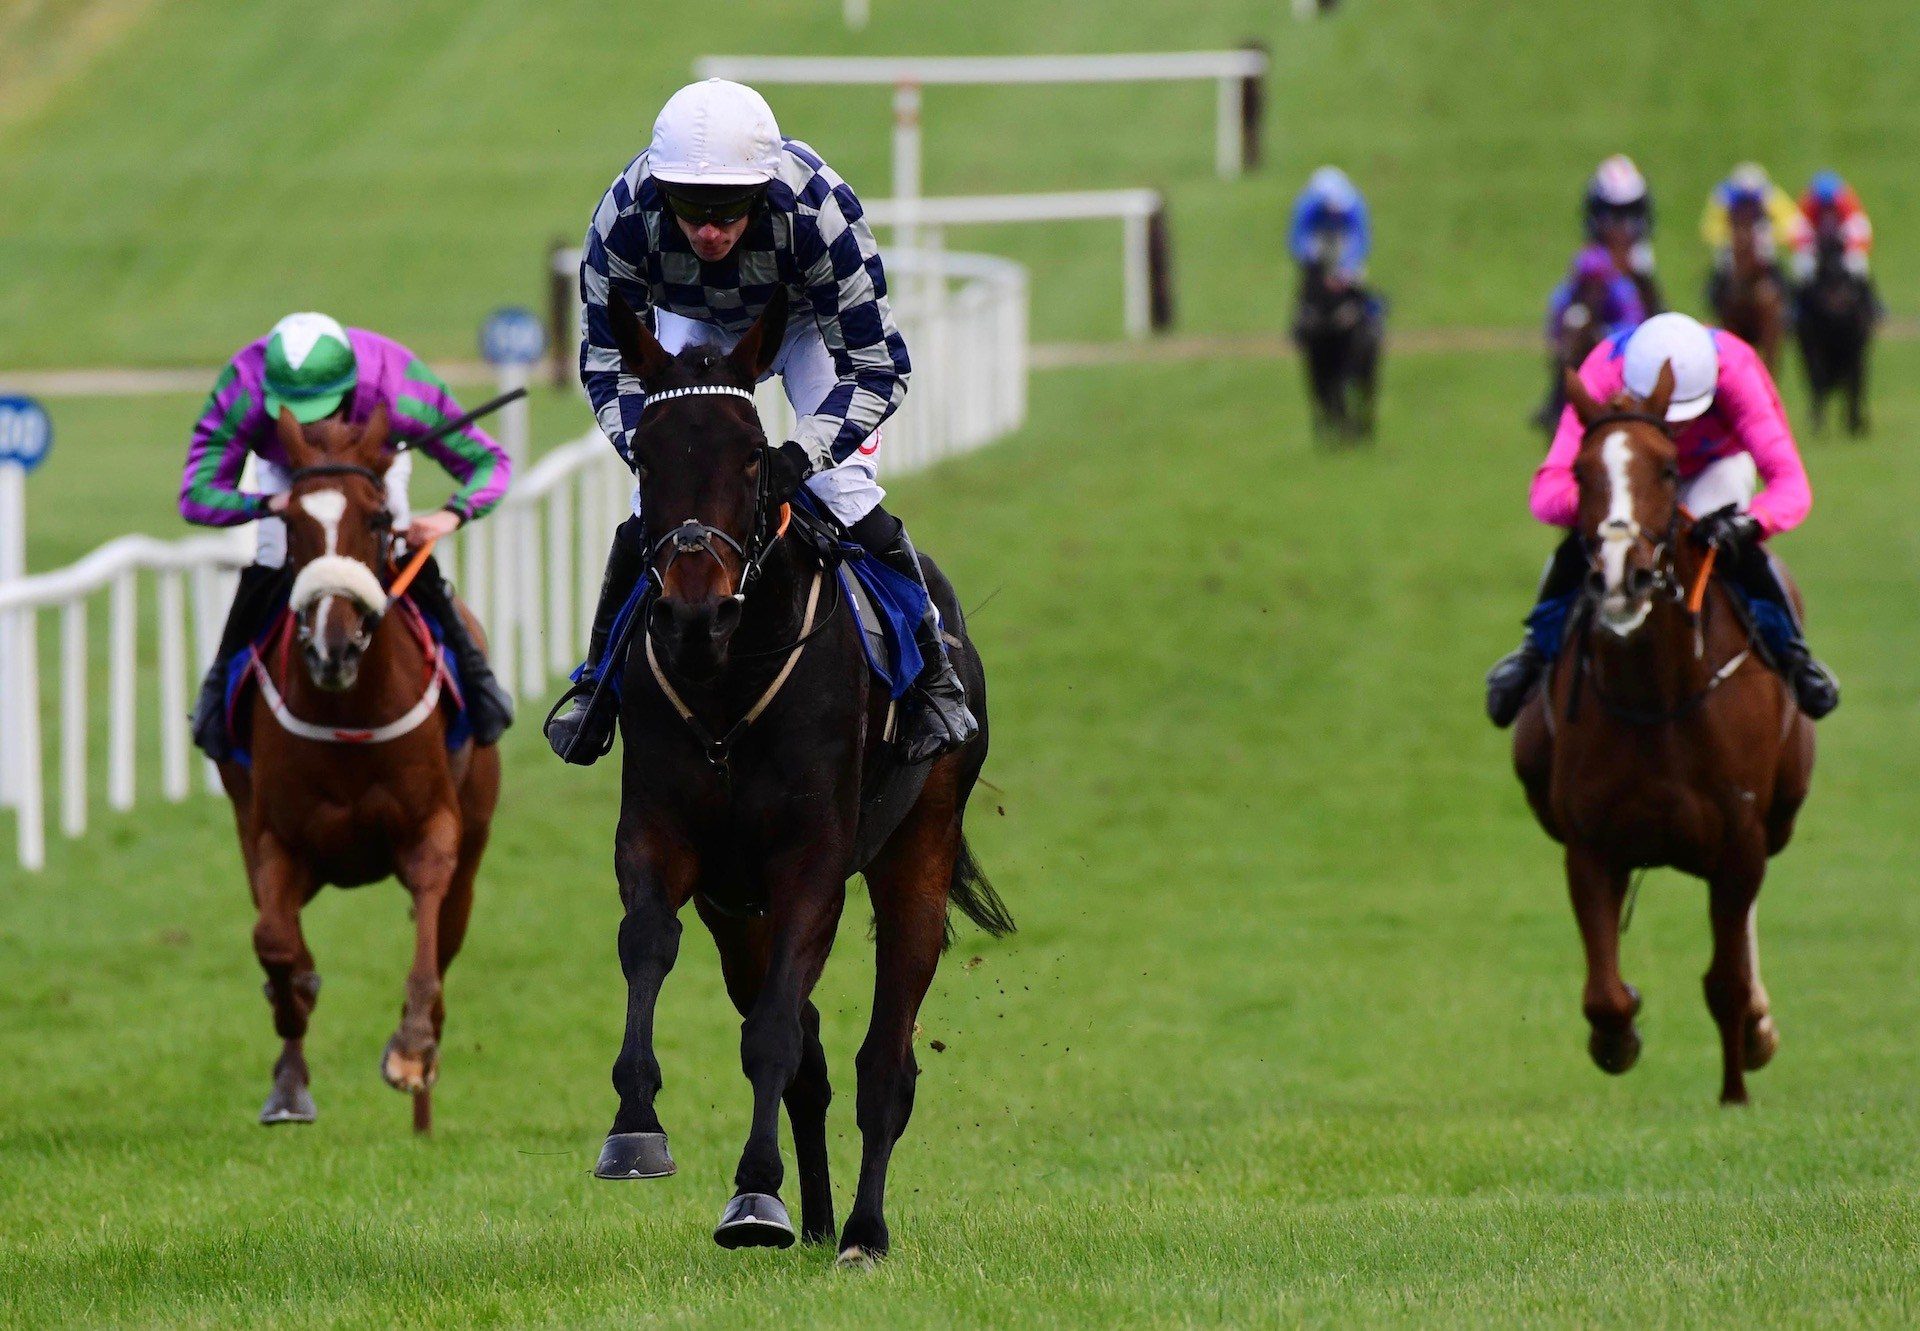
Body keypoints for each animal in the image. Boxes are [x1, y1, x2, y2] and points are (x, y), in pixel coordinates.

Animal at [218, 407, 503, 1129]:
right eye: (291, 523)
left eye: (377, 520)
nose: (333, 647)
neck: (349, 714)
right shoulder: (276, 838)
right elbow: (274, 940)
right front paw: (295, 1015)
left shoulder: (433, 829)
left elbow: (427, 933)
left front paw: (411, 1049)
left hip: (473, 846)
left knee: (447, 940)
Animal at [583, 286, 1013, 1259]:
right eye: (647, 455)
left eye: (751, 454)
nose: (692, 611)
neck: (728, 682)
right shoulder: (670, 843)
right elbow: (647, 945)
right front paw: (637, 1129)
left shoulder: (811, 859)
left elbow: (775, 1034)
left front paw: (752, 1191)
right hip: (739, 910)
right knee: (811, 1058)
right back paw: (813, 1218)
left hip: (918, 846)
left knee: (884, 1059)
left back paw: (860, 1231)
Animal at [1512, 361, 1812, 1098]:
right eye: (1581, 471)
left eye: (1670, 468)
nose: (1624, 577)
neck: (1657, 698)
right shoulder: (1590, 844)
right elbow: (1605, 993)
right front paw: (1618, 1039)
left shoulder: (1740, 840)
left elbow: (1725, 982)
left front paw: (1737, 1084)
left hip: (1774, 822)